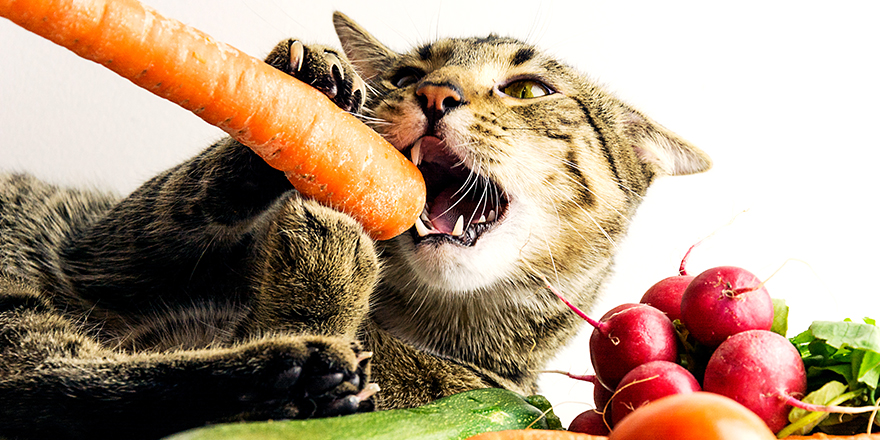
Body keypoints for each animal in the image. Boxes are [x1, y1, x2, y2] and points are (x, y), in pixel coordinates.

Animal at [0, 12, 708, 438]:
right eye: (406, 76)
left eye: (529, 90)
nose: (435, 95)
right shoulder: (96, 251)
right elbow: (178, 200)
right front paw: (305, 93)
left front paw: (327, 261)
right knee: (43, 382)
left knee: (43, 386)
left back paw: (292, 369)